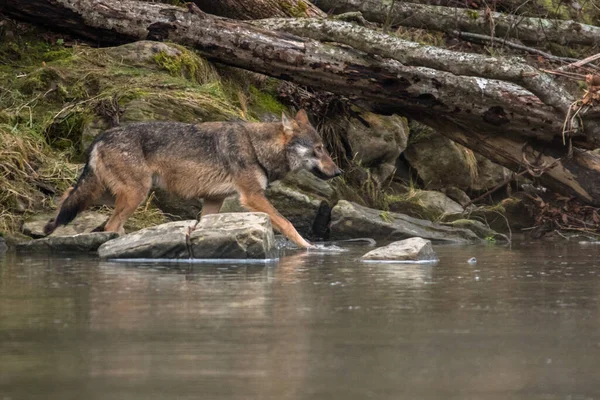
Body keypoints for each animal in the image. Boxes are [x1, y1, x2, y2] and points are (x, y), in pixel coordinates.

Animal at [43, 109, 342, 247]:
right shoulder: (252, 197)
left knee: (68, 197)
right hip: (135, 193)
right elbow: (287, 223)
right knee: (110, 225)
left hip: (108, 193)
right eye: (318, 149)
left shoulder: (213, 201)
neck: (256, 147)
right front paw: (308, 247)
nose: (338, 172)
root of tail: (101, 137)